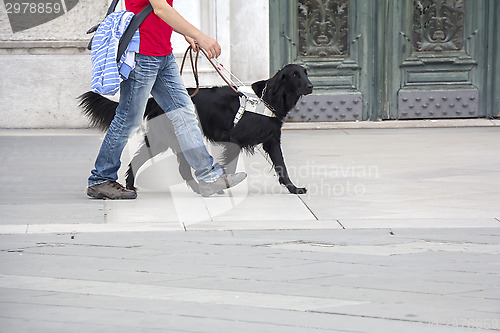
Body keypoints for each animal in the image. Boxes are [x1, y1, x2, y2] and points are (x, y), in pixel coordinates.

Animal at [79, 64, 312, 195]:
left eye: (305, 73)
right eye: (294, 75)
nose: (311, 86)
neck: (267, 99)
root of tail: (155, 100)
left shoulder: (272, 141)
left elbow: (282, 167)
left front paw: (294, 189)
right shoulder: (234, 141)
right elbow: (230, 166)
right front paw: (225, 185)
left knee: (182, 169)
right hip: (163, 140)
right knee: (137, 161)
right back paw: (129, 185)